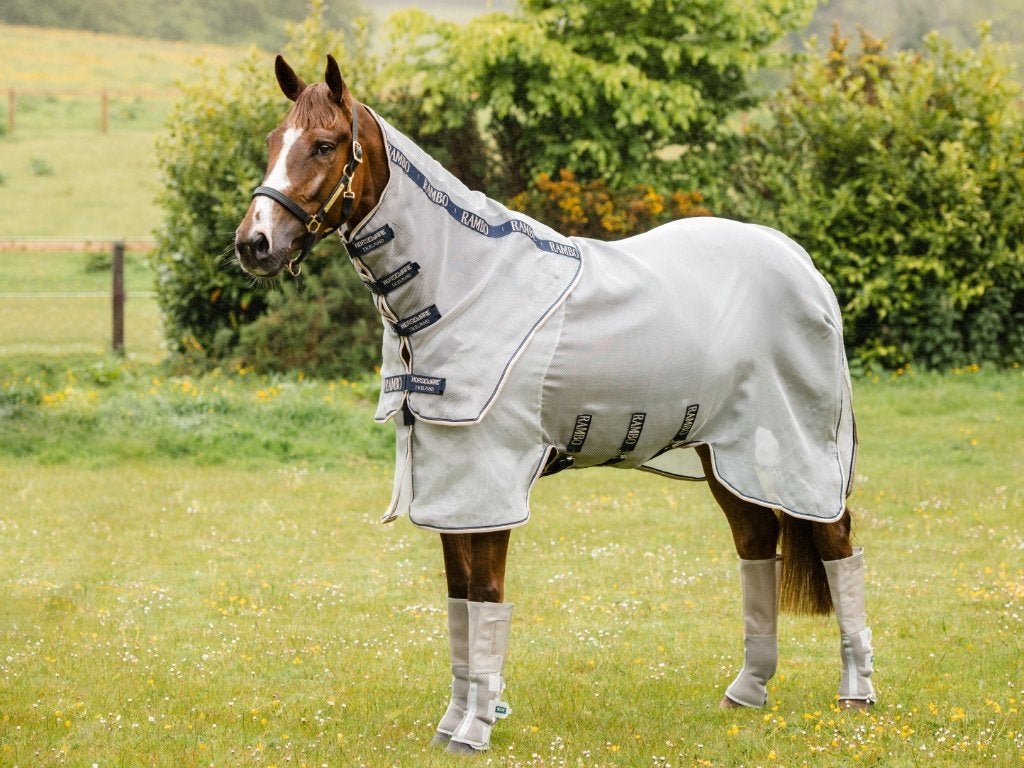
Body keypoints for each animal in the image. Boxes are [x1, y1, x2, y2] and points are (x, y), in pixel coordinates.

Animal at [234, 55, 876, 754]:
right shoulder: (451, 485)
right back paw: (748, 691)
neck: (464, 285)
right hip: (725, 454)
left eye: (324, 145)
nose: (254, 243)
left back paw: (856, 694)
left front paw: (475, 730)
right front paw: (452, 724)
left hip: (799, 447)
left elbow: (487, 598)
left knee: (838, 543)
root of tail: (800, 262)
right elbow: (459, 603)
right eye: (273, 141)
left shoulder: (488, 481)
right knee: (758, 543)